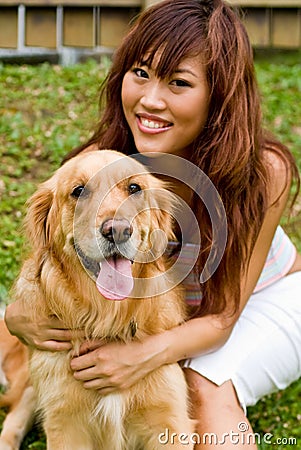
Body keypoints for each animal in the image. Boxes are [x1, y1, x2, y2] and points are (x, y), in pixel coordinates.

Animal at [11, 151, 193, 450]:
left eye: (134, 188)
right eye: (78, 191)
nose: (117, 230)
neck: (106, 317)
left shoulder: (169, 419)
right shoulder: (65, 423)